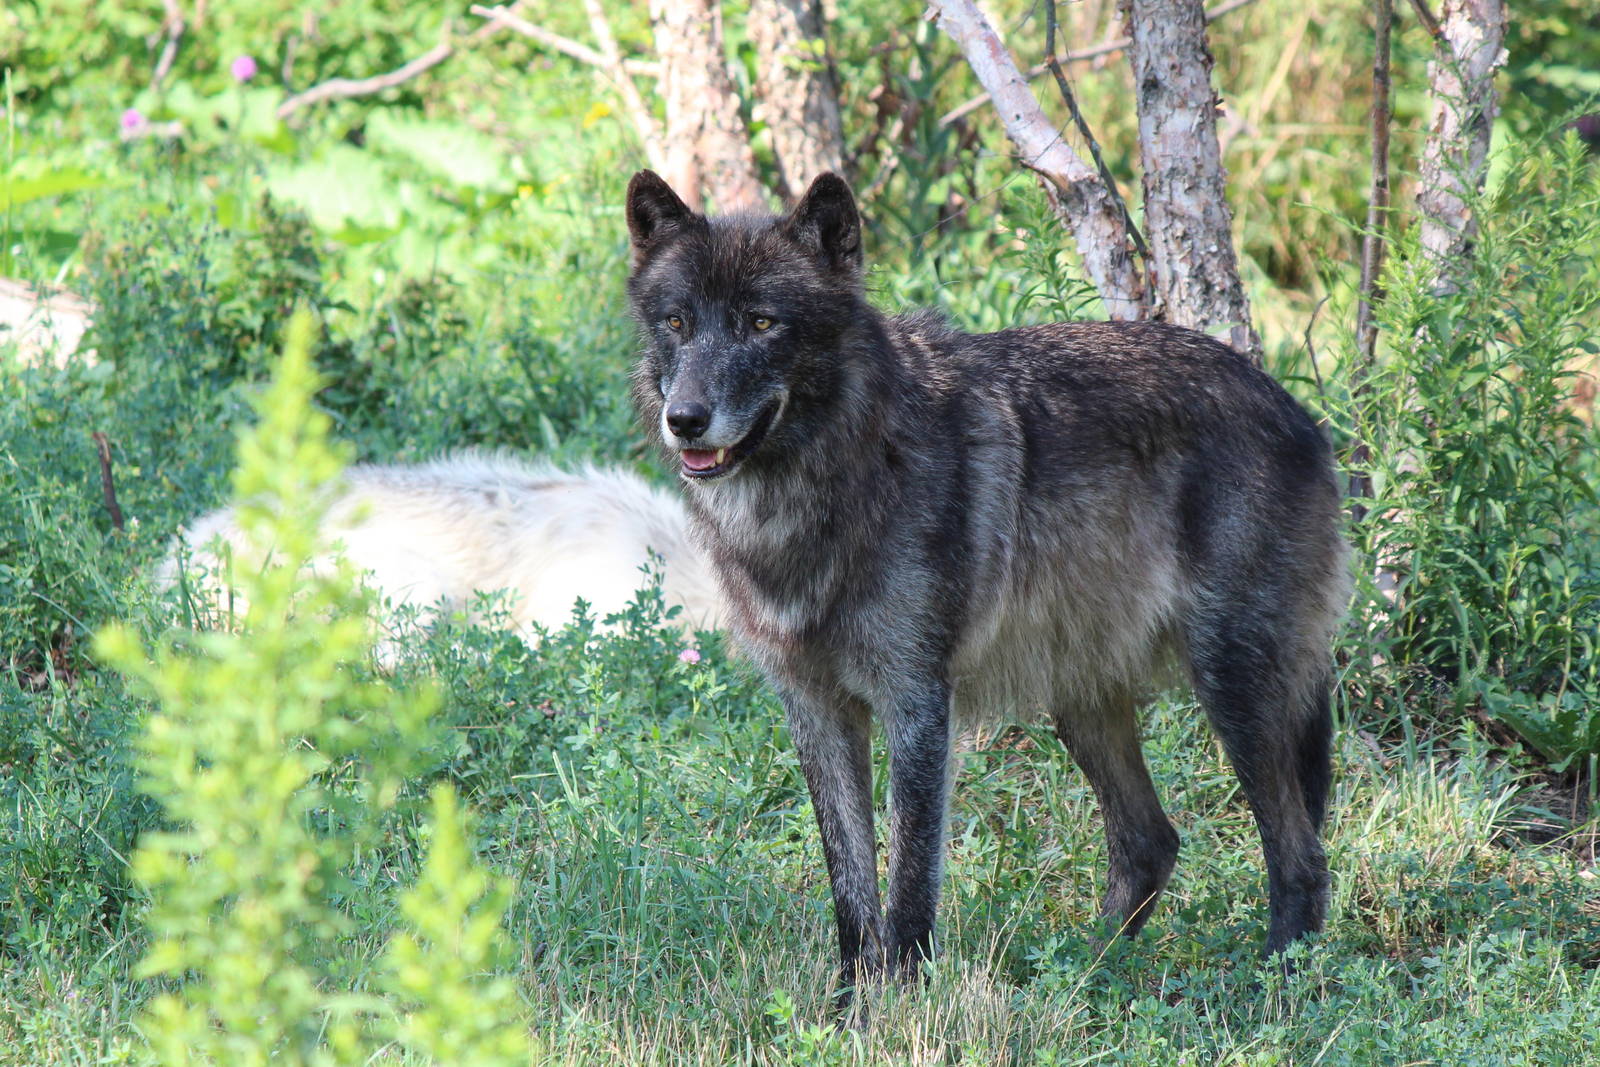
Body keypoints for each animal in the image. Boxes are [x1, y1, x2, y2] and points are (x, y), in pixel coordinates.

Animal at [625, 170, 1350, 1004]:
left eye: (761, 322)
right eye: (677, 321)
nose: (686, 419)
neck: (827, 485)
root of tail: (1298, 410)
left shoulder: (916, 704)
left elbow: (909, 880)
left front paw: (900, 1005)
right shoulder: (815, 710)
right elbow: (850, 886)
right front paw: (845, 1008)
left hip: (1230, 685)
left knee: (1299, 853)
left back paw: (1273, 989)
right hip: (1082, 701)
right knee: (1150, 840)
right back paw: (1081, 976)